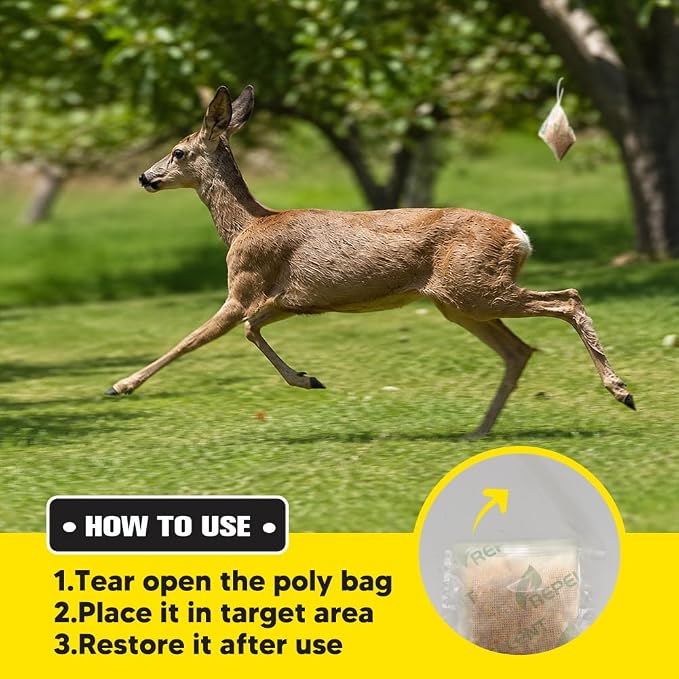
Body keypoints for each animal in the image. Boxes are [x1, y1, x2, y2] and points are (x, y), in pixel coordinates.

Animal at [106, 84, 635, 439]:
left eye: (178, 151)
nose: (145, 177)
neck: (244, 227)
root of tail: (518, 235)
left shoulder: (245, 285)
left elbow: (193, 339)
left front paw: (120, 385)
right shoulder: (290, 300)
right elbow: (251, 331)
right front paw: (309, 379)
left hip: (474, 288)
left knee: (567, 298)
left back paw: (622, 392)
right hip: (459, 301)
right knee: (519, 349)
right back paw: (478, 431)